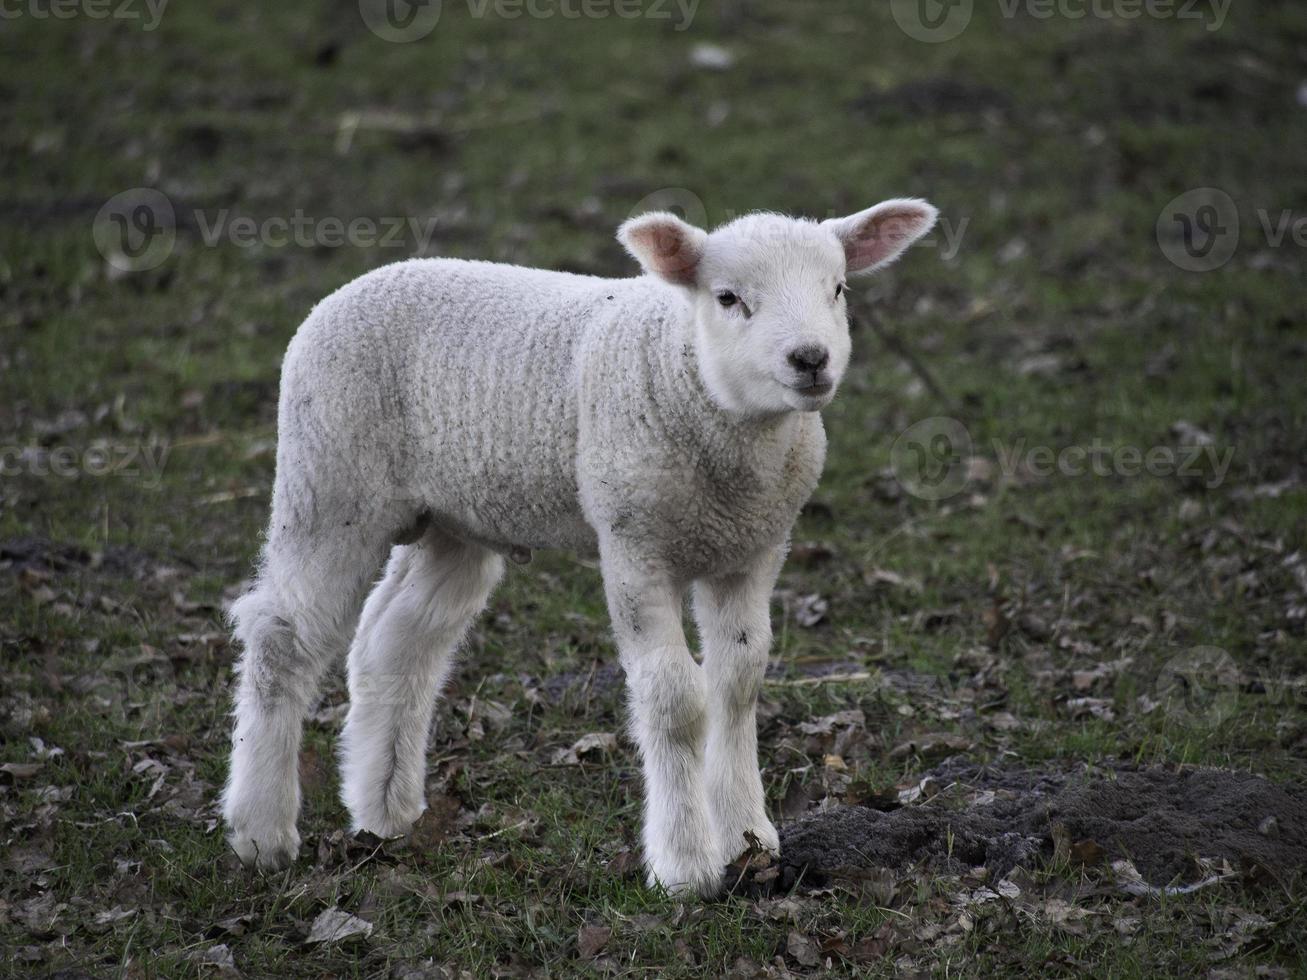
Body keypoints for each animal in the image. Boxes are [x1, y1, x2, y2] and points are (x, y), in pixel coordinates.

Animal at [224, 197, 941, 898]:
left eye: (837, 288)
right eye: (729, 297)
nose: (810, 359)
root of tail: (352, 287)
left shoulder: (753, 548)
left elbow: (737, 685)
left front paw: (747, 838)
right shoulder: (633, 542)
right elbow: (675, 700)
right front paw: (685, 866)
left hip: (451, 519)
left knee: (395, 642)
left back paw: (384, 810)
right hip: (330, 482)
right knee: (281, 637)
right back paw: (260, 833)